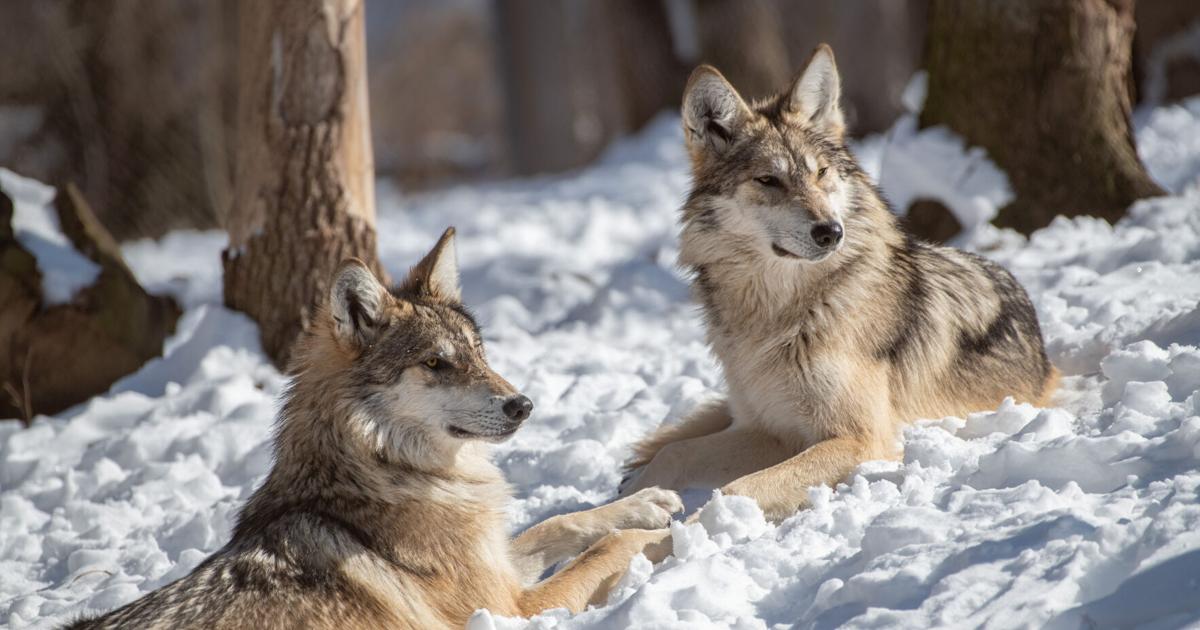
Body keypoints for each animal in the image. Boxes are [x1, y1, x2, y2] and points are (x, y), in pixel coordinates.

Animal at [70, 228, 680, 629]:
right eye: (436, 364)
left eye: (478, 353)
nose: (523, 405)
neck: (390, 470)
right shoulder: (508, 609)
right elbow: (604, 550)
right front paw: (675, 534)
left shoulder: (499, 566)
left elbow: (561, 522)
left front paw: (647, 502)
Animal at [620, 45, 1057, 521]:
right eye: (768, 180)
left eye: (821, 173)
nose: (830, 232)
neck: (778, 317)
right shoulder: (772, 429)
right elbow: (675, 454)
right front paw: (624, 506)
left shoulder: (861, 439)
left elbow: (737, 492)